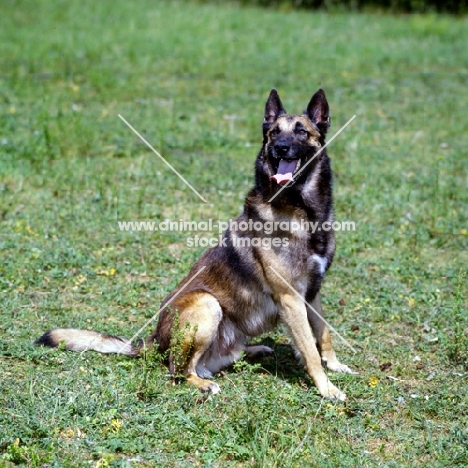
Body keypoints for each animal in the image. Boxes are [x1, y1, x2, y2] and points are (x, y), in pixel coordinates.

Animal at [36, 89, 354, 400]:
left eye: (301, 131)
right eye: (274, 133)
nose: (280, 148)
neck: (304, 211)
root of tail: (152, 342)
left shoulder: (312, 292)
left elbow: (323, 334)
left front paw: (334, 365)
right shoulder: (291, 298)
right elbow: (310, 349)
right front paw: (326, 388)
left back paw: (253, 350)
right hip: (207, 304)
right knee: (178, 370)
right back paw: (202, 383)